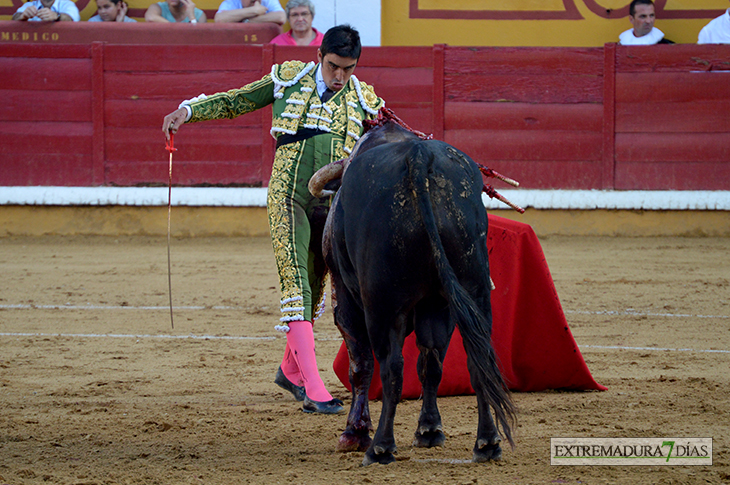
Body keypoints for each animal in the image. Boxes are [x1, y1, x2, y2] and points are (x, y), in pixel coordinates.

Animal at [316, 121, 516, 466]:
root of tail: (419, 157)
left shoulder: (346, 300)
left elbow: (361, 366)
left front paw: (354, 432)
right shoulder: (435, 305)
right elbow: (430, 364)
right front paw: (429, 430)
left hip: (382, 306)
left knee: (391, 368)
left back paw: (380, 448)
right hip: (471, 292)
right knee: (477, 360)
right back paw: (487, 443)